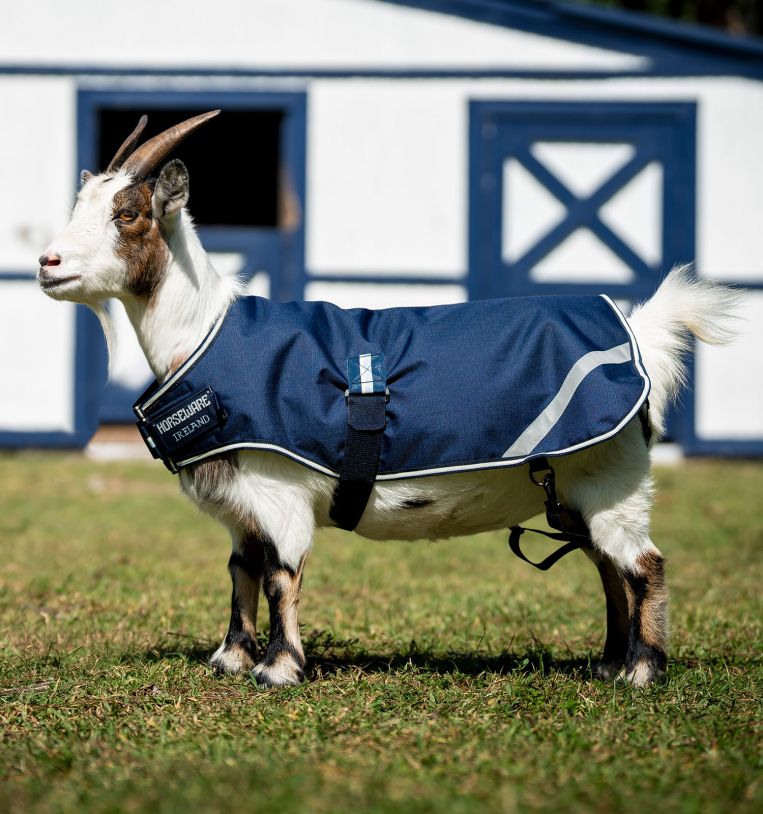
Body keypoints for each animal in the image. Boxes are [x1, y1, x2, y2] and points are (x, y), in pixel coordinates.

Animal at [38, 111, 738, 688]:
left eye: (128, 215)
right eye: (79, 204)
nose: (48, 263)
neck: (204, 334)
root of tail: (640, 335)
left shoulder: (279, 490)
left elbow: (279, 574)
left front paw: (279, 670)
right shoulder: (242, 504)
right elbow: (241, 569)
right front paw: (231, 658)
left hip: (614, 481)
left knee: (643, 566)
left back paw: (641, 672)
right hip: (580, 491)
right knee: (607, 569)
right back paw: (608, 663)